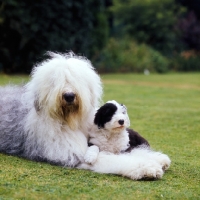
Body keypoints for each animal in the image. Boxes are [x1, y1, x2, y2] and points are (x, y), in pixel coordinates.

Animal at [0, 52, 170, 180]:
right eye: (55, 81)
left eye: (76, 80)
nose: (69, 96)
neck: (71, 120)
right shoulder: (73, 153)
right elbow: (109, 158)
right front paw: (147, 167)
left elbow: (130, 151)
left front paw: (158, 158)